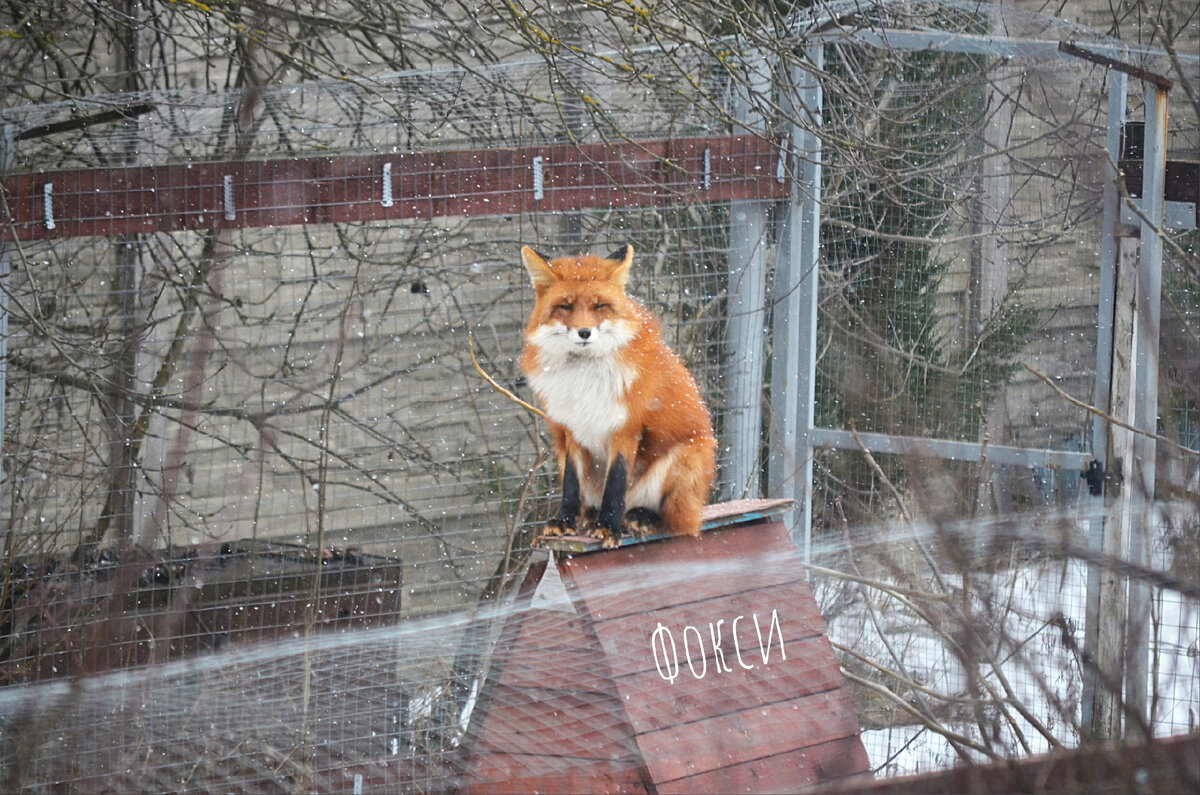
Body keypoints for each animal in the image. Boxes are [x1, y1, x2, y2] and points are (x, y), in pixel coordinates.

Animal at [518, 246, 710, 552]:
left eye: (599, 306)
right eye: (565, 307)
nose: (584, 332)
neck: (583, 377)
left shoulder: (626, 427)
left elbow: (616, 483)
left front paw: (608, 527)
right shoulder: (572, 428)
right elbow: (571, 483)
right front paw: (565, 520)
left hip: (686, 459)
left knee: (679, 522)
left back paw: (640, 517)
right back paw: (591, 515)